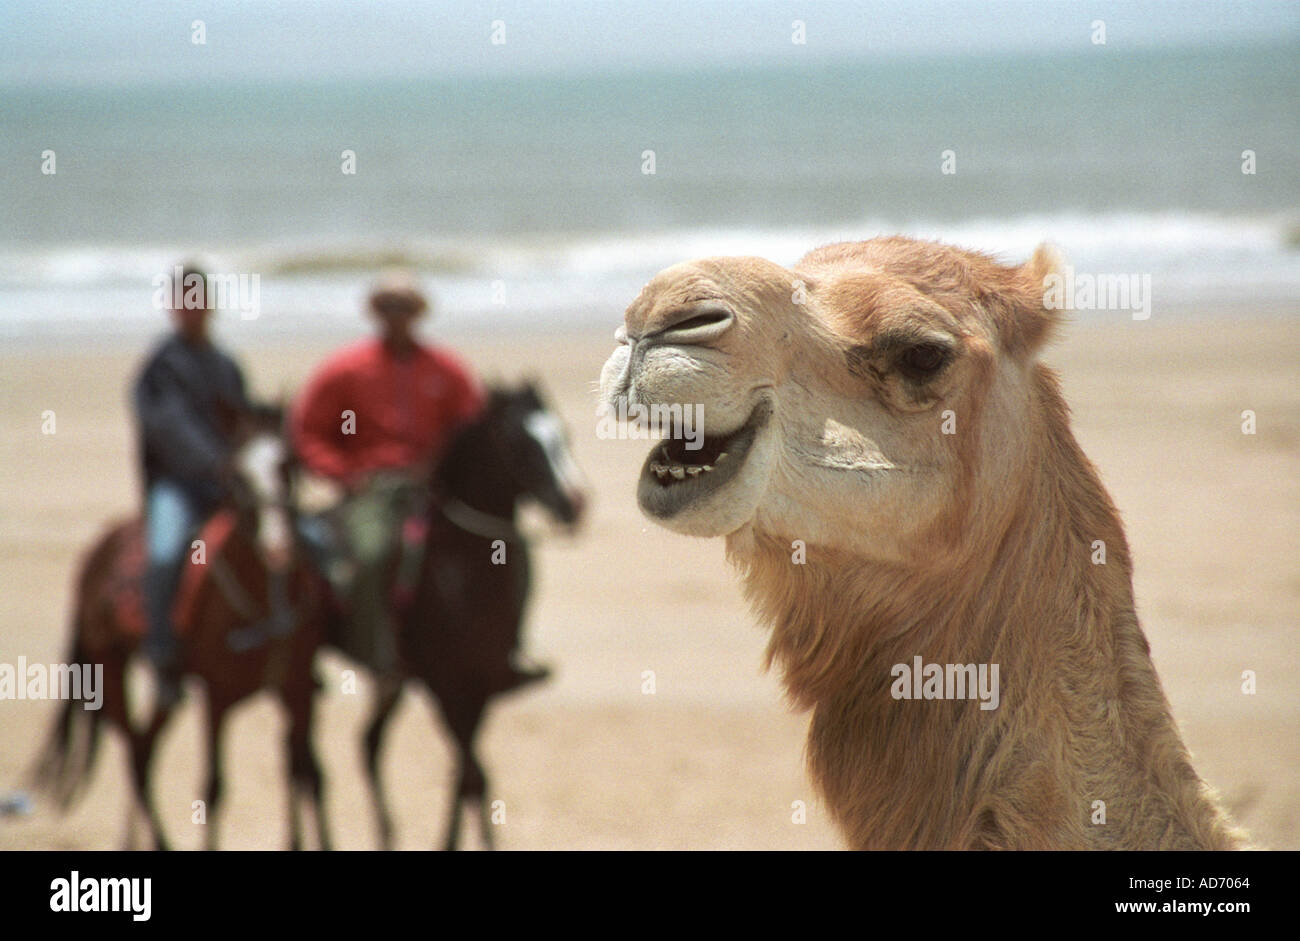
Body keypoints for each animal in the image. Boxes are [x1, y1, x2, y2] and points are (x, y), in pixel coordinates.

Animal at [38, 408, 332, 847]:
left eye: (289, 465)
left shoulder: (296, 690)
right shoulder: (216, 697)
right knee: (135, 753)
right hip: (109, 667)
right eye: (236, 475)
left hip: (166, 688)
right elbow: (214, 786)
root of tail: (95, 554)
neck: (263, 602)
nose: (279, 546)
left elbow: (308, 774)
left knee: (144, 749)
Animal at [338, 379, 587, 847]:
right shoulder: (444, 682)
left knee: (369, 742)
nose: (575, 503)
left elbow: (465, 775)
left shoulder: (482, 682)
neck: (463, 575)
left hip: (396, 682)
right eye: (519, 444)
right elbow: (473, 775)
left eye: (564, 433)